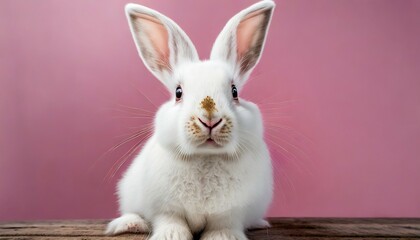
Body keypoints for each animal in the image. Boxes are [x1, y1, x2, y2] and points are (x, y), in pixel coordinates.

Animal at [105, 0, 276, 239]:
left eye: (234, 91)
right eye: (178, 92)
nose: (210, 120)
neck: (205, 156)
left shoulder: (232, 211)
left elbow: (223, 224)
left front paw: (223, 237)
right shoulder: (163, 207)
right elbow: (170, 220)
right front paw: (171, 235)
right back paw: (129, 224)